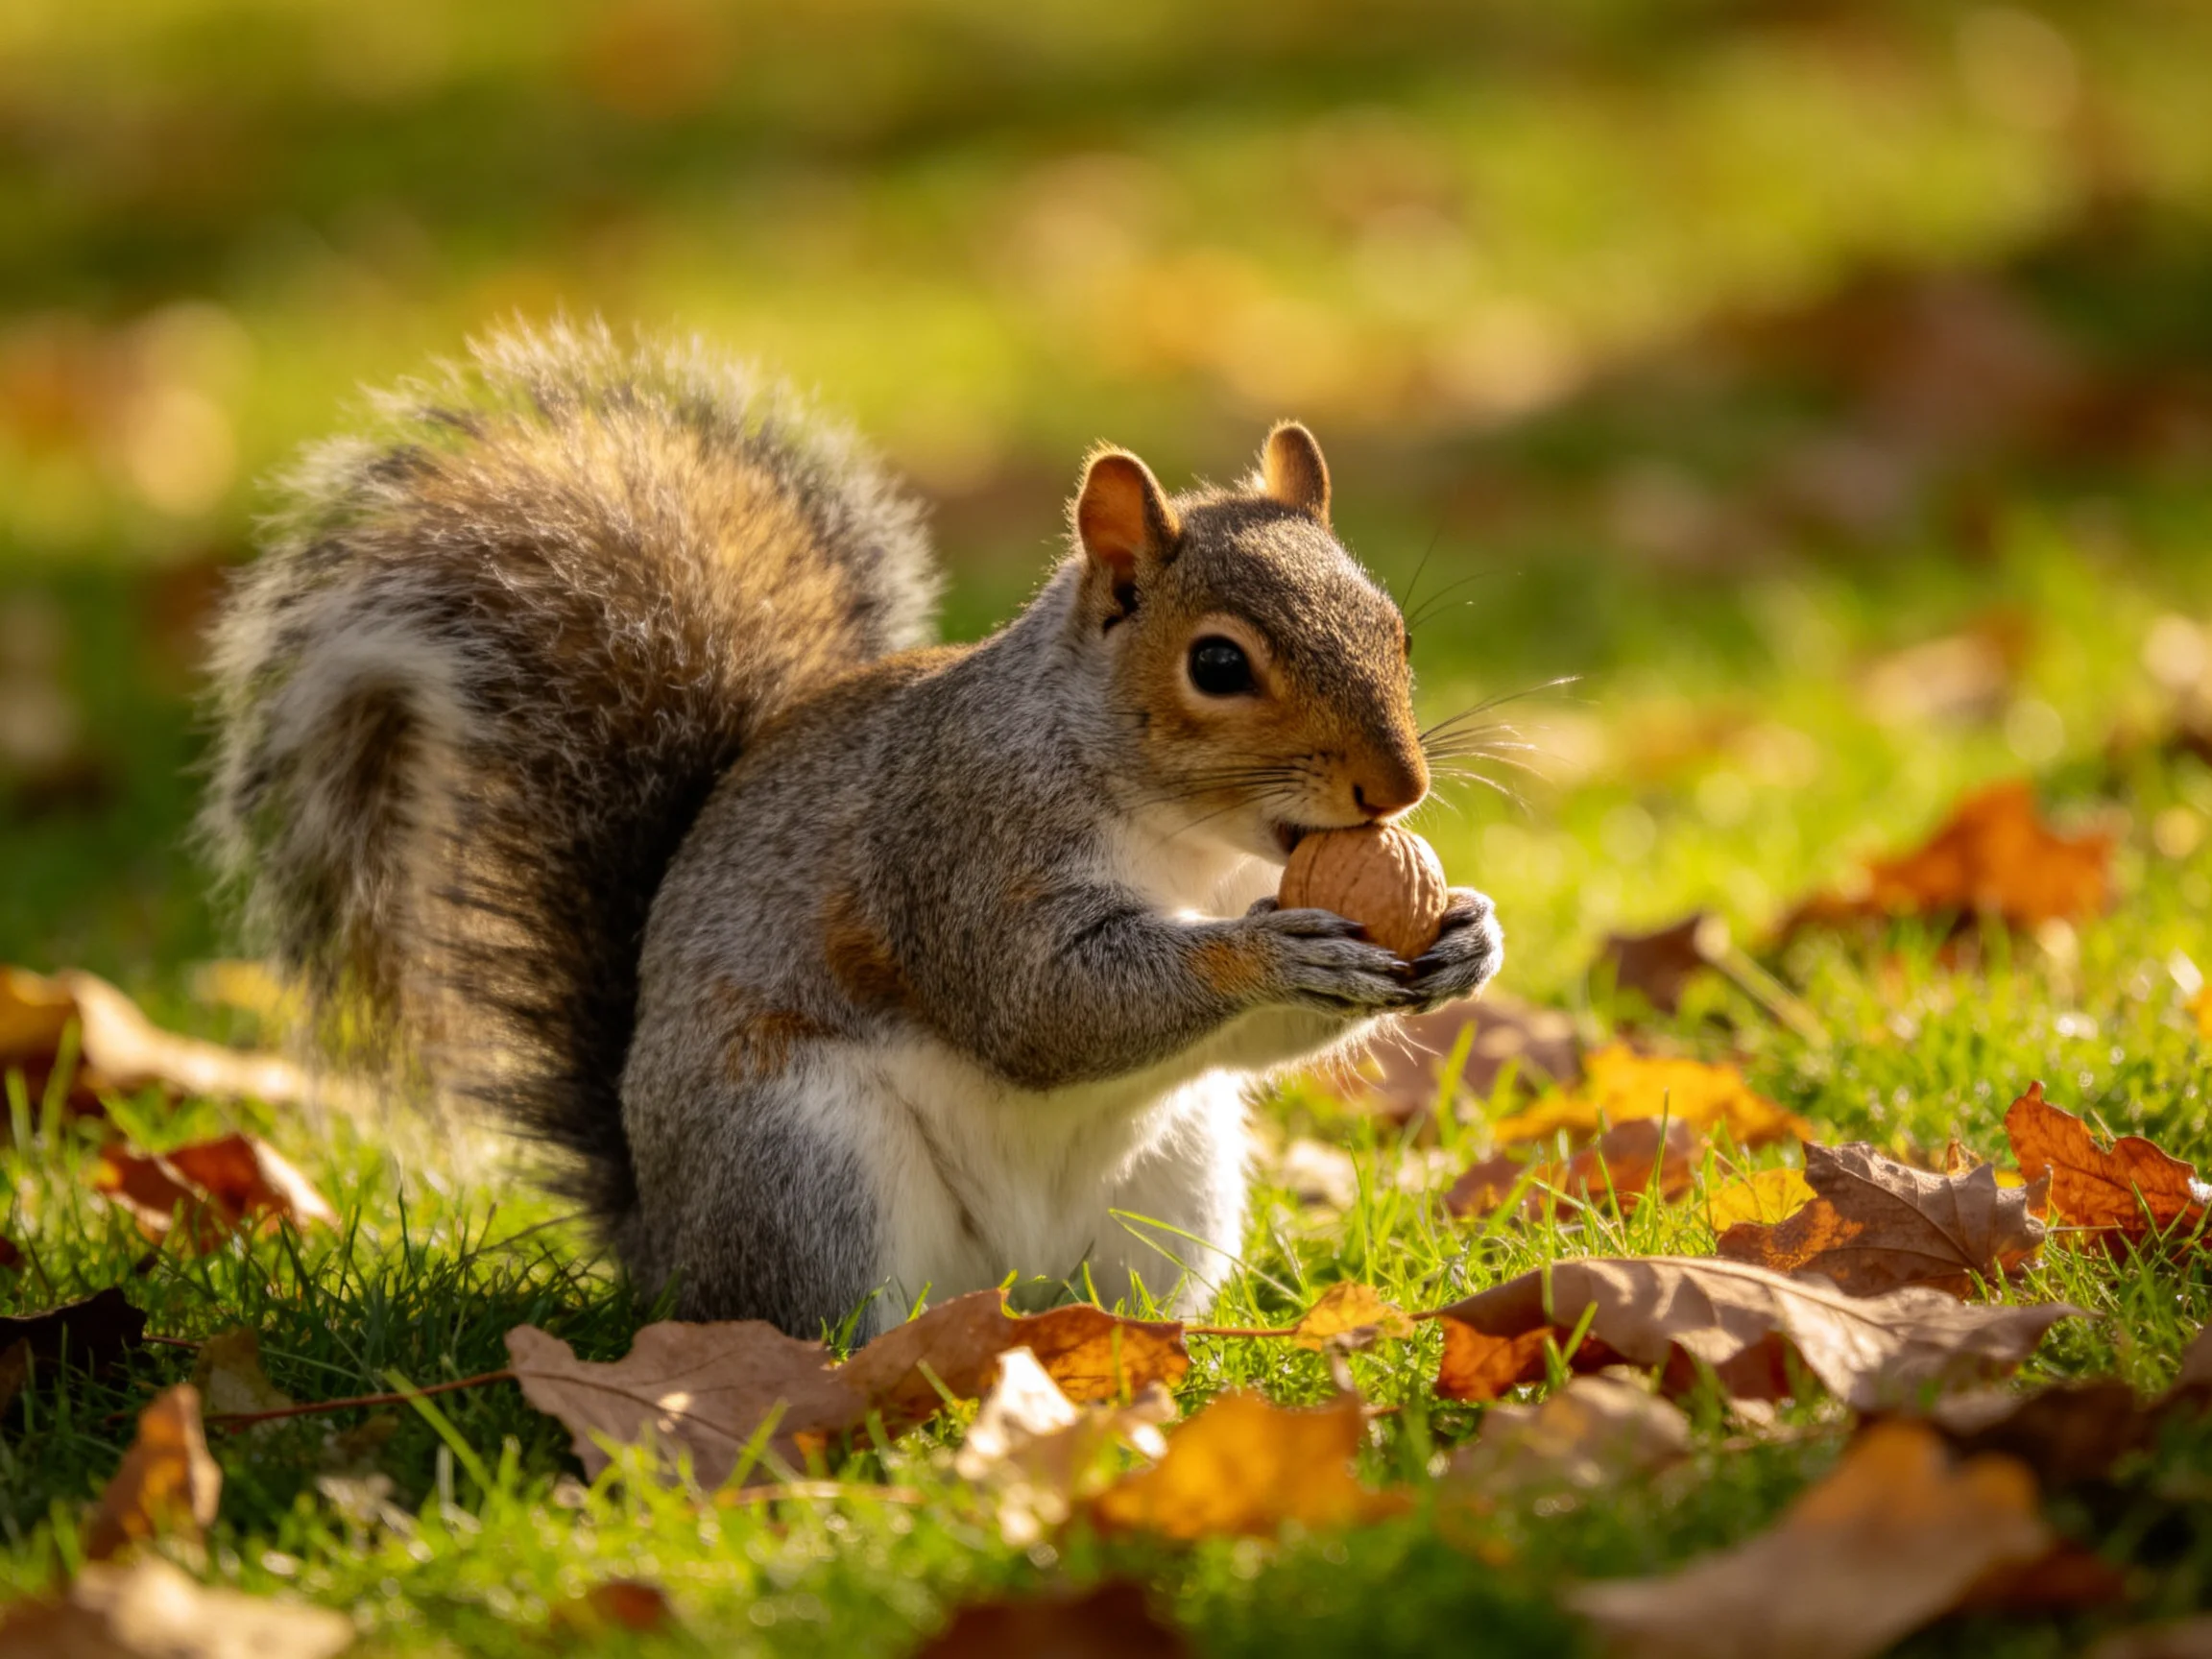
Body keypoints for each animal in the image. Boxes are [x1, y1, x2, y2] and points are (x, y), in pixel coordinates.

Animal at [204, 321, 1501, 1338]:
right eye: (1219, 665)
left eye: (1395, 628)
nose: (1398, 789)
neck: (1192, 842)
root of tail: (665, 1252)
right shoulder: (959, 839)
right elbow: (1038, 1005)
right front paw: (1272, 954)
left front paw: (1468, 936)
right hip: (805, 1166)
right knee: (828, 1324)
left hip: (1175, 1183)